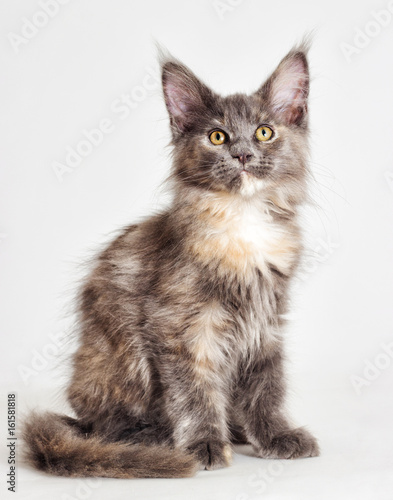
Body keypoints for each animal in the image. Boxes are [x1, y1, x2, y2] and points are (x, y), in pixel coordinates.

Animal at [23, 45, 318, 478]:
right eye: (217, 136)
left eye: (264, 131)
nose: (242, 154)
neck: (241, 219)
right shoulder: (179, 328)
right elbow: (193, 392)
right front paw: (204, 445)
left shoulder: (266, 322)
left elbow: (266, 388)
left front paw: (275, 435)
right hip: (121, 362)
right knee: (111, 426)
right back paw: (156, 439)